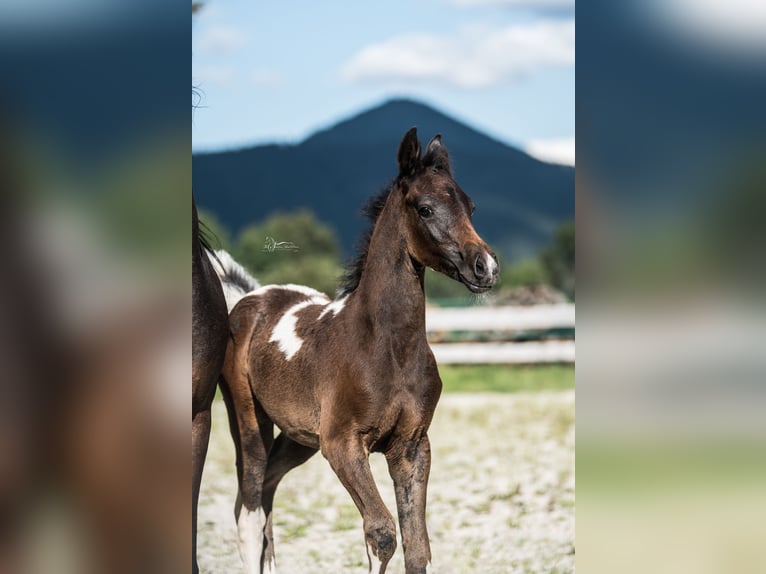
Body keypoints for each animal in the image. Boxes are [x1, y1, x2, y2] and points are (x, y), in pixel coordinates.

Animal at [219, 129, 500, 574]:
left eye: (469, 205)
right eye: (425, 208)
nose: (485, 266)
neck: (388, 347)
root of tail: (249, 298)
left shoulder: (411, 446)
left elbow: (416, 547)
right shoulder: (344, 445)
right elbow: (381, 534)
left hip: (300, 437)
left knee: (264, 496)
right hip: (249, 422)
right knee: (249, 512)